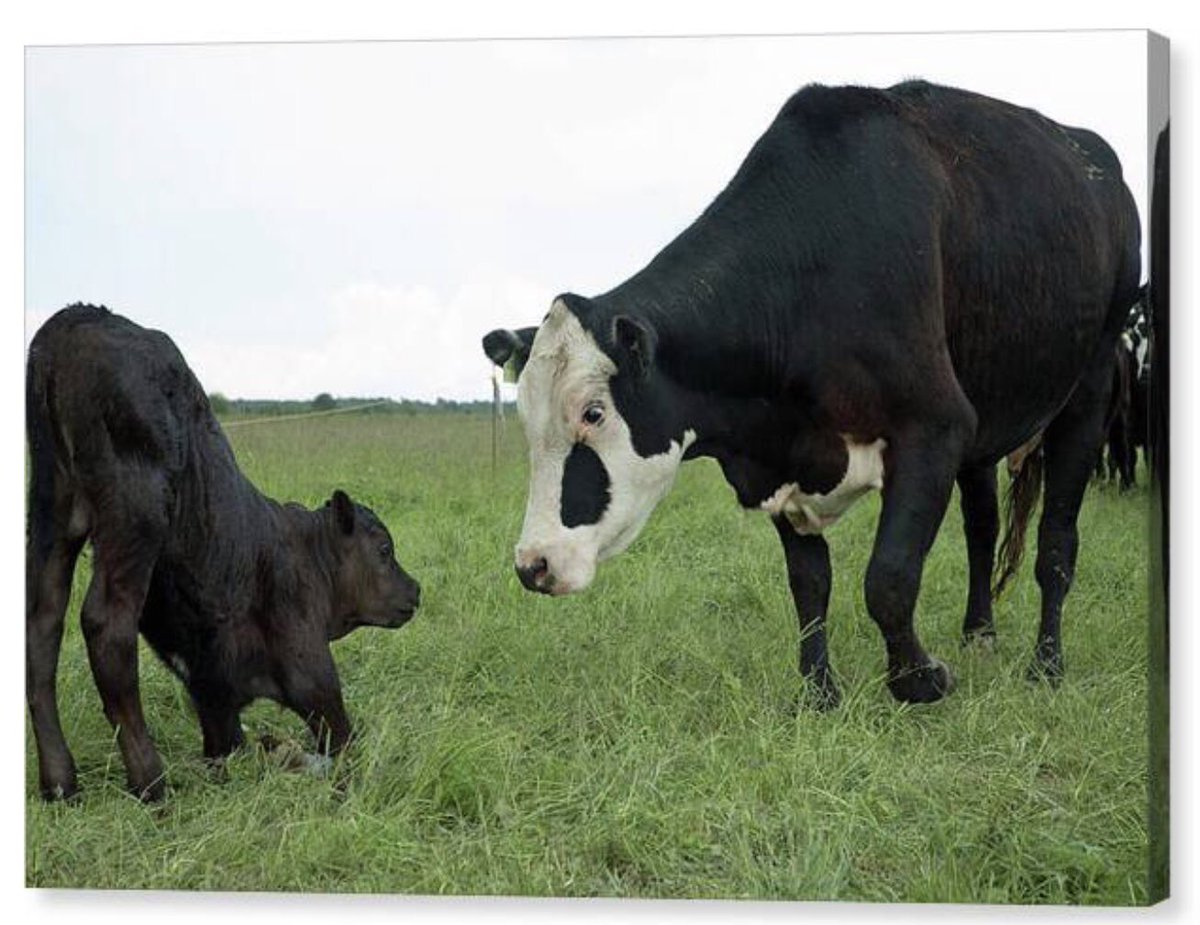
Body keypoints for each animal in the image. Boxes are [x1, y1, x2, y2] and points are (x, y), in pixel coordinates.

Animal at [26, 304, 422, 802]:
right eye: (384, 550)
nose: (416, 589)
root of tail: (78, 317)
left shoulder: (215, 697)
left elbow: (229, 749)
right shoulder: (312, 672)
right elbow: (346, 744)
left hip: (52, 507)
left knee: (42, 623)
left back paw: (61, 784)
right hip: (135, 511)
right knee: (105, 624)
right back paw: (153, 785)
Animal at [483, 80, 1141, 709]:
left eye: (593, 413)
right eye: (526, 420)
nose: (533, 564)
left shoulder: (936, 428)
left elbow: (888, 579)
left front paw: (920, 680)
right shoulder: (783, 455)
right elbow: (809, 584)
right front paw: (819, 693)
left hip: (1087, 392)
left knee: (1056, 543)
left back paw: (1046, 665)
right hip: (985, 427)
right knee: (982, 530)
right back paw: (979, 633)